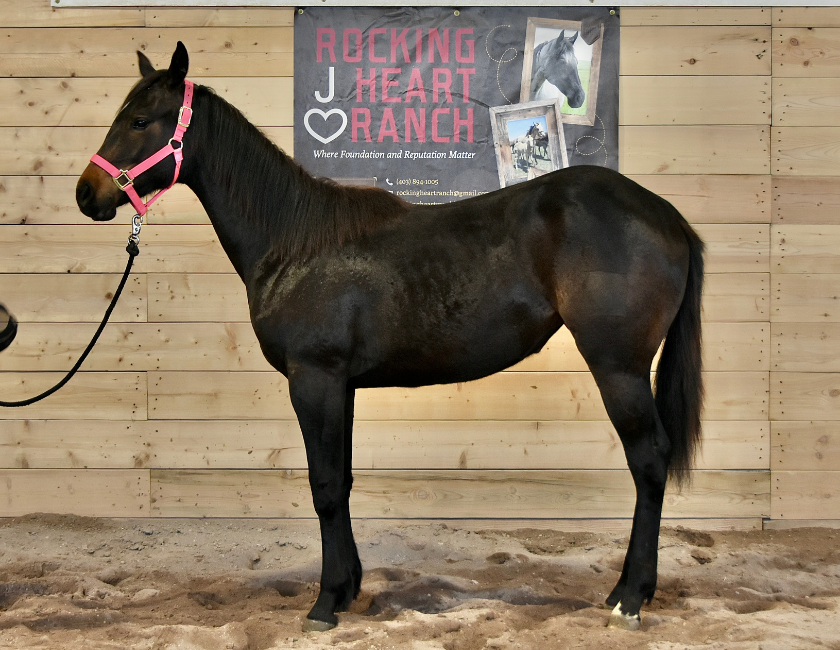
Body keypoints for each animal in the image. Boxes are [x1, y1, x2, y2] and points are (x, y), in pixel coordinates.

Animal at [76, 43, 704, 633]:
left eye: (140, 120)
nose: (87, 194)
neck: (295, 241)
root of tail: (667, 216)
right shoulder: (342, 386)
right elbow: (344, 481)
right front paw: (349, 589)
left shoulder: (315, 378)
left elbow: (325, 486)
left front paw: (324, 603)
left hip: (618, 367)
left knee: (649, 461)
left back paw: (629, 599)